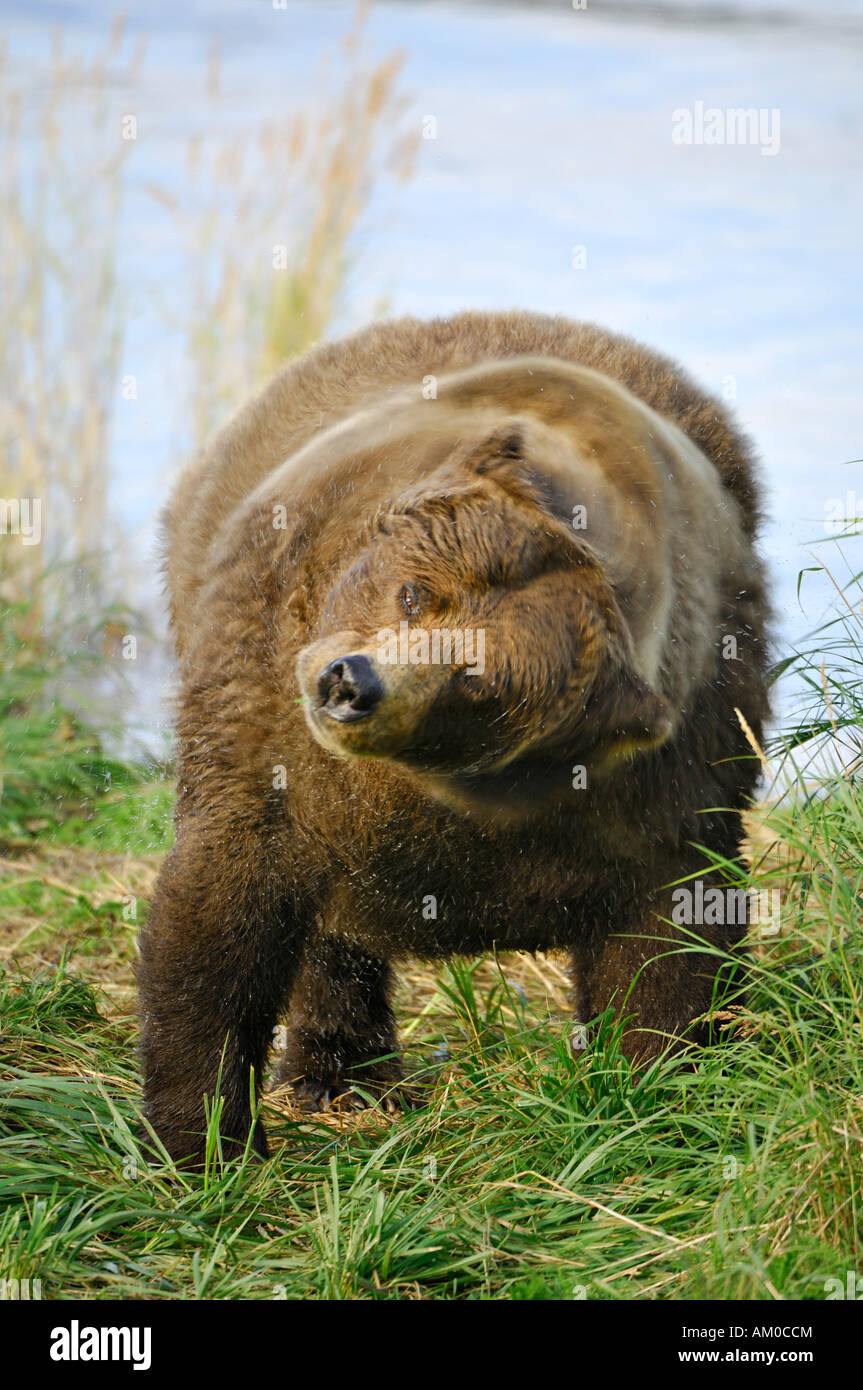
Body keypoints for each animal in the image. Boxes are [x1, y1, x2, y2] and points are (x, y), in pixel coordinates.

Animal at [138, 307, 772, 1162]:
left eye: (476, 679)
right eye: (415, 592)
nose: (349, 685)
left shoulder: (667, 774)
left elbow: (670, 940)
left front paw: (656, 1097)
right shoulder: (270, 729)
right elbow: (224, 906)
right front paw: (199, 1139)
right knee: (328, 930)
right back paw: (338, 1074)